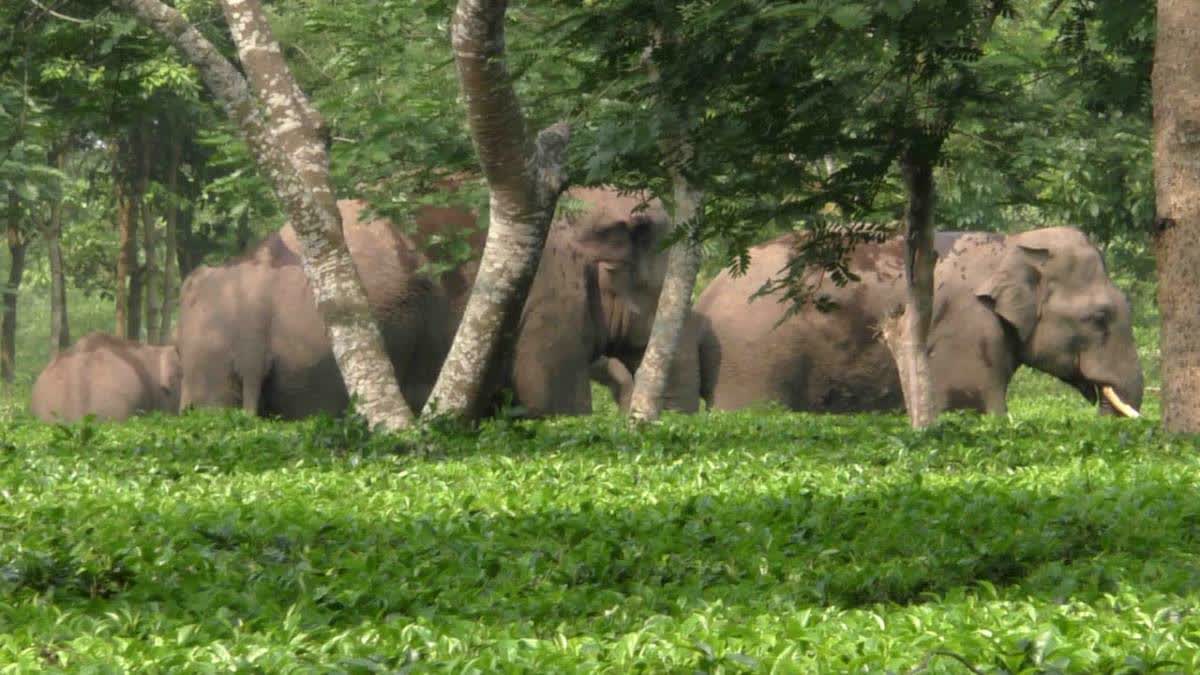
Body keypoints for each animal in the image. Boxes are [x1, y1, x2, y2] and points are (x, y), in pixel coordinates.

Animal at [700, 225, 1147, 415]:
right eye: (1099, 317)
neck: (1013, 242)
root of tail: (707, 296)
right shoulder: (968, 328)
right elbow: (973, 404)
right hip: (752, 357)